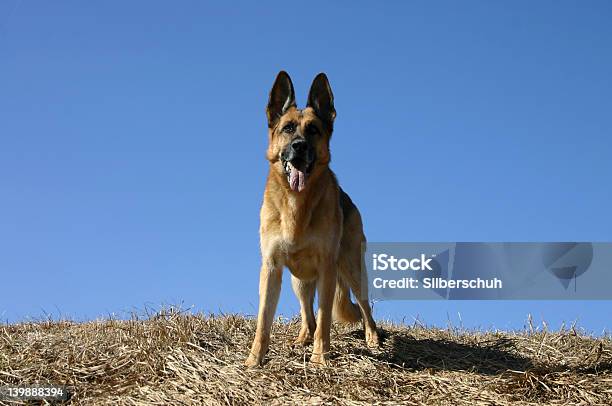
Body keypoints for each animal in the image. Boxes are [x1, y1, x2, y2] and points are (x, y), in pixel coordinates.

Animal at [244, 71, 378, 366]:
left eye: (313, 130)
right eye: (288, 128)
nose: (299, 146)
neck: (297, 205)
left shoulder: (328, 267)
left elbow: (326, 317)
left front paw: (320, 359)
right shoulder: (271, 267)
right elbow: (263, 320)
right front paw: (254, 360)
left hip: (351, 269)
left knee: (364, 306)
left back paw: (373, 338)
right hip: (299, 280)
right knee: (308, 313)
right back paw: (303, 337)